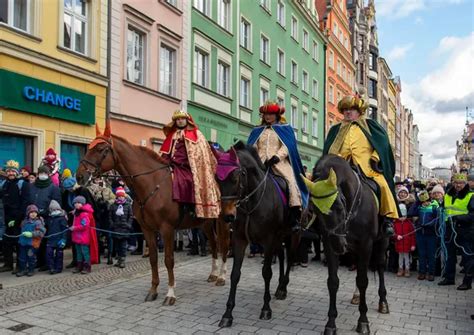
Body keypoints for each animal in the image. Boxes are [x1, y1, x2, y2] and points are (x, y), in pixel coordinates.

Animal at [76, 124, 230, 308]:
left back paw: (222, 276)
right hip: (204, 222)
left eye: (100, 150)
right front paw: (153, 290)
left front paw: (170, 293)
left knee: (223, 244)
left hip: (222, 220)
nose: (79, 176)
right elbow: (154, 259)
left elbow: (169, 260)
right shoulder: (147, 229)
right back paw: (213, 274)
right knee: (214, 244)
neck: (152, 184)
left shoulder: (167, 229)